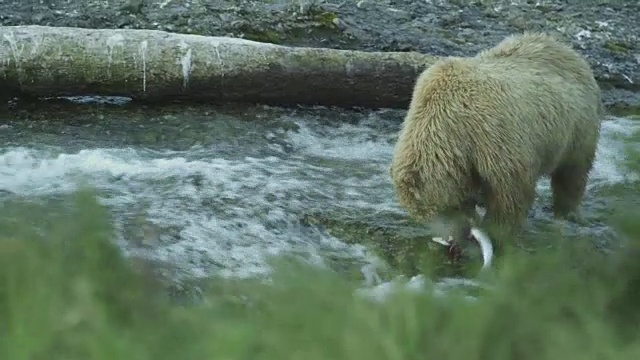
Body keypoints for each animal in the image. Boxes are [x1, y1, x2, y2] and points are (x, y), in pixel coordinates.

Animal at [390, 32, 604, 243]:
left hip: (575, 126)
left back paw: (569, 212)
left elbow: (509, 191)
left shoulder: (490, 136)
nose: (453, 239)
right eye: (423, 217)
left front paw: (497, 229)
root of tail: (567, 50)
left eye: (444, 209)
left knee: (572, 172)